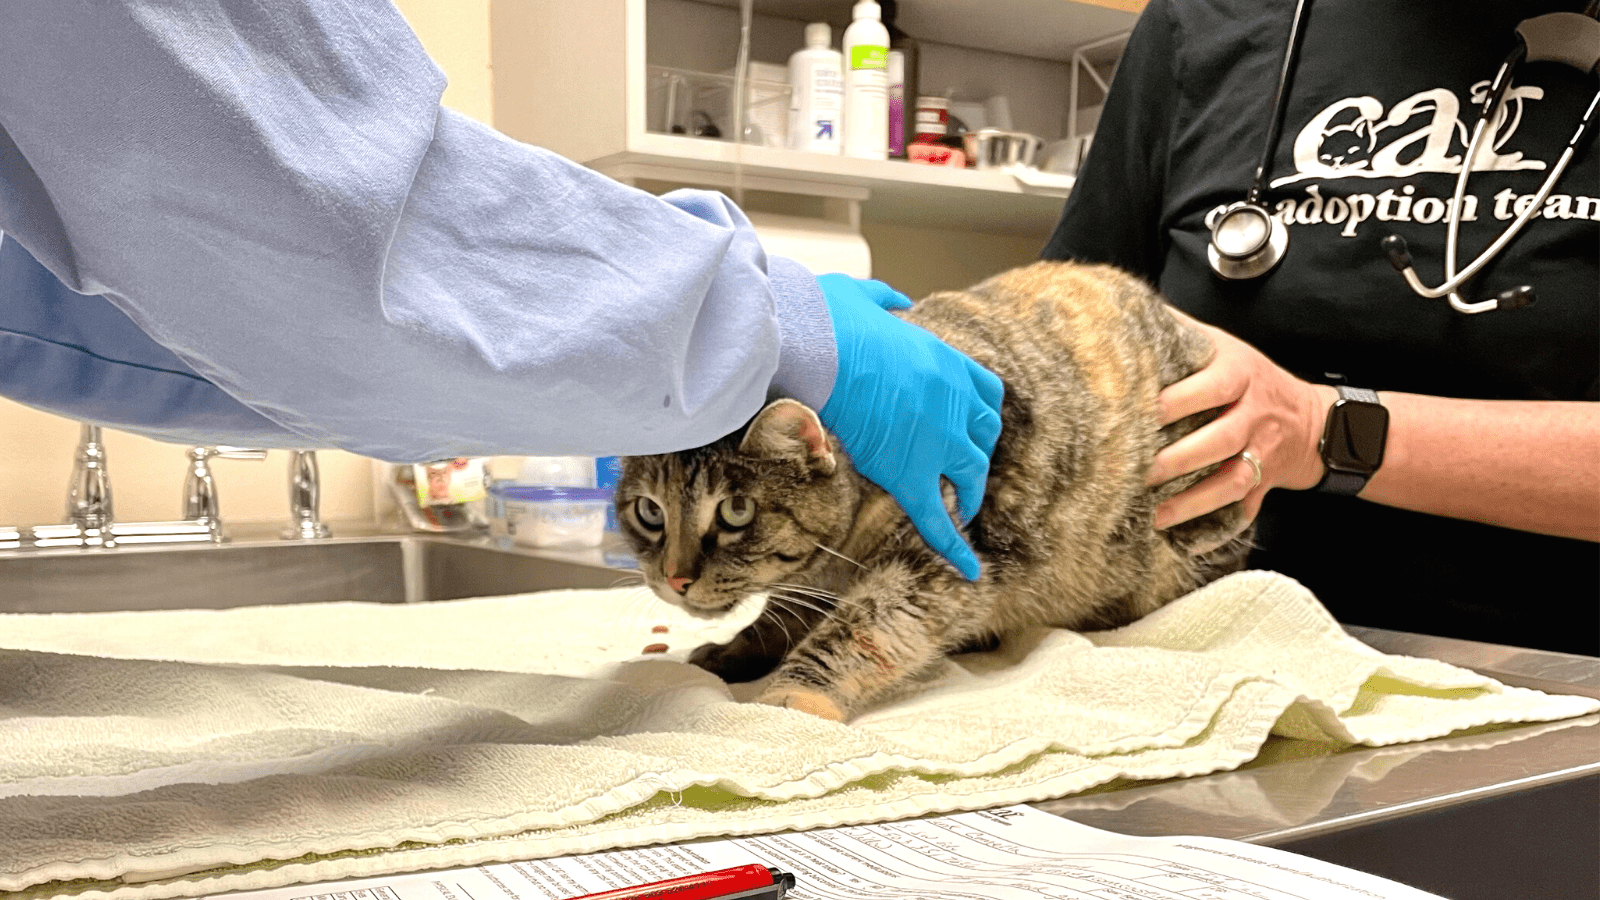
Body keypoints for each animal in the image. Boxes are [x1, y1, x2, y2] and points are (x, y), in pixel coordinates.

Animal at [611, 256, 1248, 717]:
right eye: (650, 512)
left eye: (737, 511)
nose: (675, 579)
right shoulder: (813, 579)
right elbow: (779, 616)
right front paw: (735, 650)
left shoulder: (935, 562)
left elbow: (857, 630)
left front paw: (796, 691)